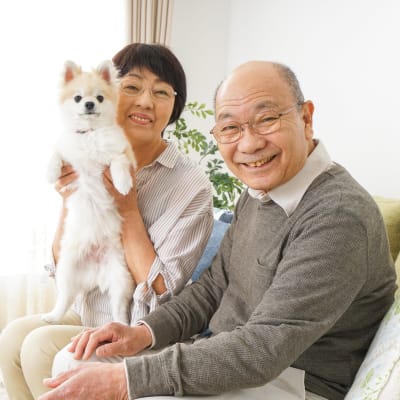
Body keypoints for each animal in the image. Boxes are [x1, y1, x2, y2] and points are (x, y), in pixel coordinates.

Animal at [42, 61, 136, 326]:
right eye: (77, 98)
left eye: (100, 97)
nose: (89, 104)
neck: (90, 134)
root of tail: (94, 273)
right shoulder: (65, 150)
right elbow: (55, 153)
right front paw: (51, 172)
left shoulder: (120, 152)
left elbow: (119, 163)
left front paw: (123, 183)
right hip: (66, 270)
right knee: (64, 299)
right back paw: (52, 316)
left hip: (121, 279)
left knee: (119, 309)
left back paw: (121, 327)